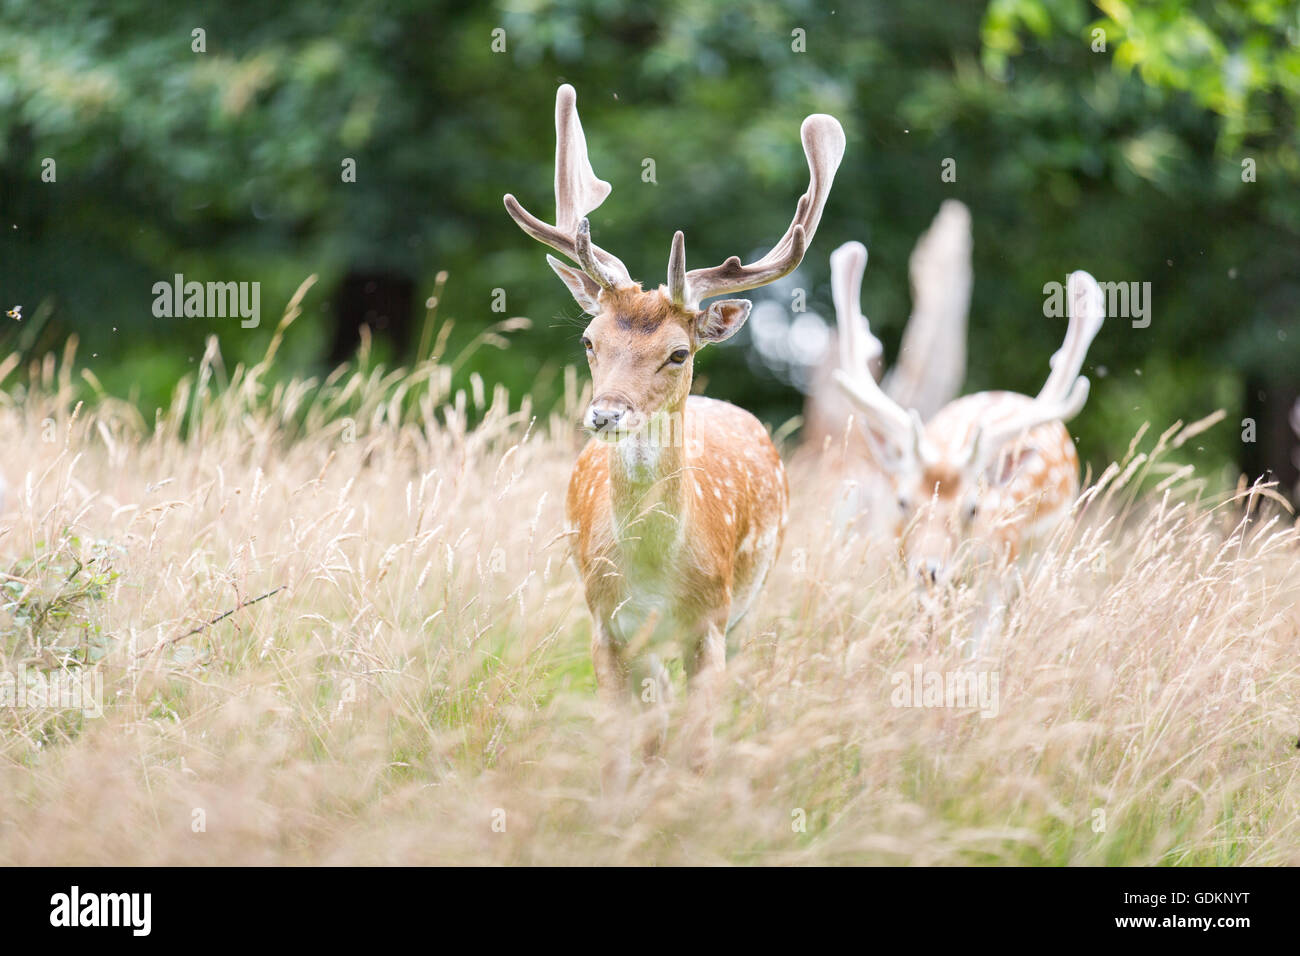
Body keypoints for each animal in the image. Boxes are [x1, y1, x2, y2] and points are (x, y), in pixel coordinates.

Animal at [505, 85, 845, 770]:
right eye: (589, 340)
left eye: (678, 353)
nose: (605, 413)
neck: (654, 581)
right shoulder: (603, 624)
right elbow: (621, 748)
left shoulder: (711, 623)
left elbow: (697, 746)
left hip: (750, 603)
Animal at [833, 262, 1105, 655]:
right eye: (902, 502)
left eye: (973, 508)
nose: (928, 570)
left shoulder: (998, 571)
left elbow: (980, 648)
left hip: (1045, 553)